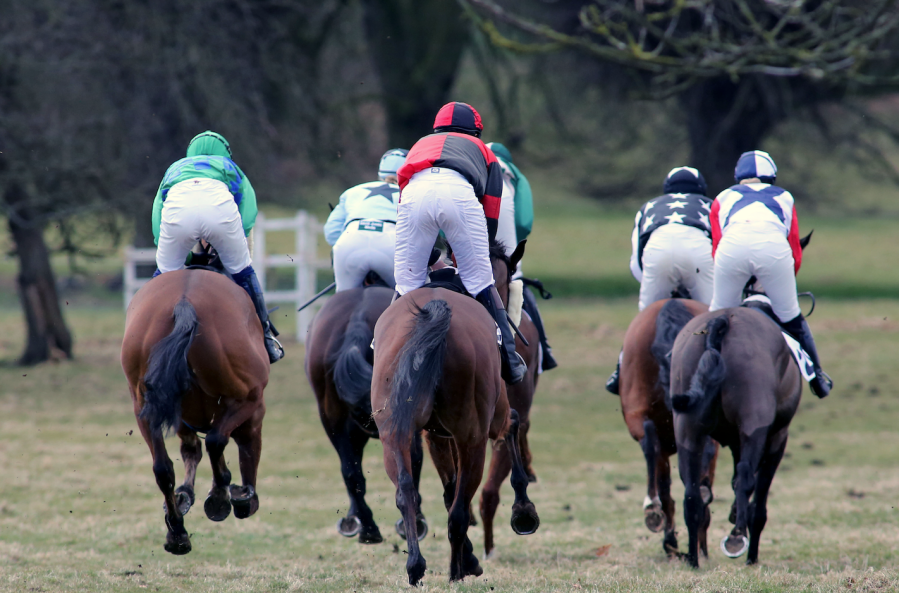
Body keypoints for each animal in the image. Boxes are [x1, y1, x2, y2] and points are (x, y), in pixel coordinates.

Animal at [120, 268, 268, 556]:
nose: (248, 507)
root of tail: (185, 303)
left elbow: (191, 450)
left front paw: (185, 495)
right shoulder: (253, 407)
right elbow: (217, 442)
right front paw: (229, 495)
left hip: (143, 405)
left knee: (162, 468)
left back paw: (177, 532)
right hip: (248, 395)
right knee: (215, 441)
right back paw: (221, 497)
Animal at [372, 243, 540, 584]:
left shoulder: (434, 436)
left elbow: (448, 490)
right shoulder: (493, 418)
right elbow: (513, 423)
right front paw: (523, 510)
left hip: (393, 432)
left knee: (406, 490)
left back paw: (416, 566)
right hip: (472, 437)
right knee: (460, 512)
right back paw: (455, 573)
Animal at [672, 308, 804, 568]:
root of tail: (722, 320)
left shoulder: (734, 442)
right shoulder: (776, 439)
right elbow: (757, 499)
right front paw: (751, 553)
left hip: (688, 432)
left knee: (691, 494)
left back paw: (693, 559)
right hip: (755, 426)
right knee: (745, 477)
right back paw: (736, 538)